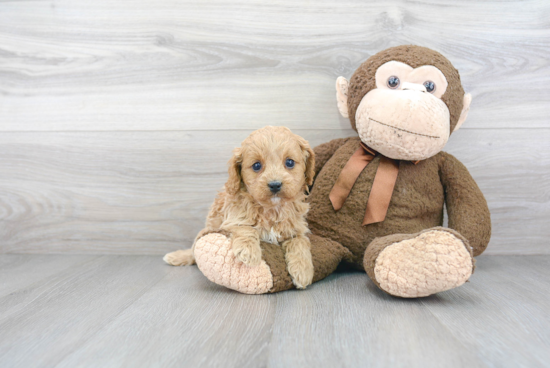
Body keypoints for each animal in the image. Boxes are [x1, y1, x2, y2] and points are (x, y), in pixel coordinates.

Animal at [164, 126, 316, 290]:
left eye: (289, 162)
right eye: (256, 165)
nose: (275, 184)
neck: (271, 209)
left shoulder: (296, 228)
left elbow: (300, 242)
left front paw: (303, 271)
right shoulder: (233, 217)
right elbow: (245, 227)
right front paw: (248, 252)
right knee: (193, 251)